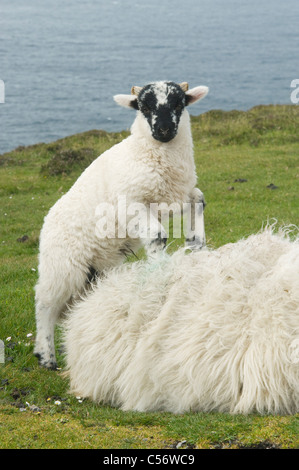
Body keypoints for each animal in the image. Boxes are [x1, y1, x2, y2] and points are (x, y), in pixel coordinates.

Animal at [34, 81, 210, 370]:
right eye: (143, 106)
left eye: (179, 103)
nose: (164, 130)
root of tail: (46, 223)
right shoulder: (132, 204)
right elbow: (157, 236)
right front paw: (161, 274)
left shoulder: (174, 198)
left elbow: (199, 199)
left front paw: (196, 244)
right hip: (63, 265)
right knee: (44, 303)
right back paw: (45, 355)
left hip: (95, 270)